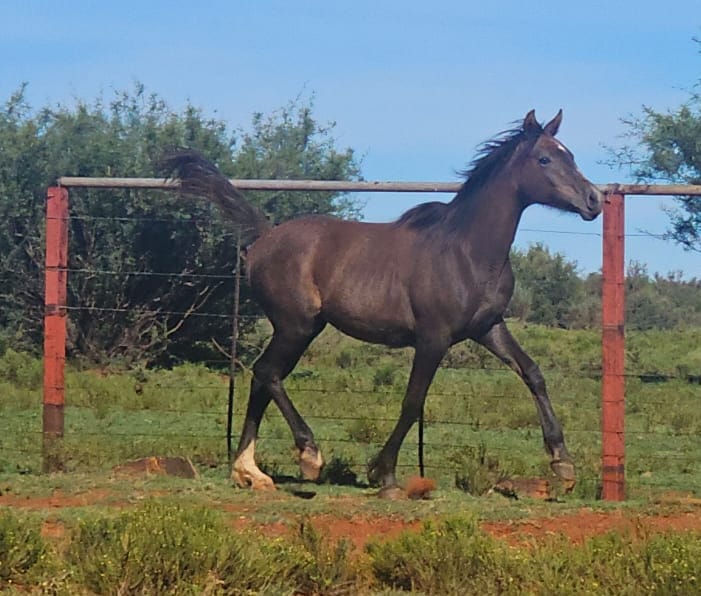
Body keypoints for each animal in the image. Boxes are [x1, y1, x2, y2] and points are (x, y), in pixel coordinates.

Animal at [165, 110, 602, 494]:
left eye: (571, 154)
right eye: (545, 158)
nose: (594, 199)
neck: (466, 250)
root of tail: (262, 239)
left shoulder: (488, 328)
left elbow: (533, 373)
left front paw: (563, 465)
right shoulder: (433, 337)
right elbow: (413, 401)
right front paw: (383, 474)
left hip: (301, 328)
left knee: (262, 377)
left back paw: (250, 472)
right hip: (296, 325)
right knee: (266, 372)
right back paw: (309, 455)